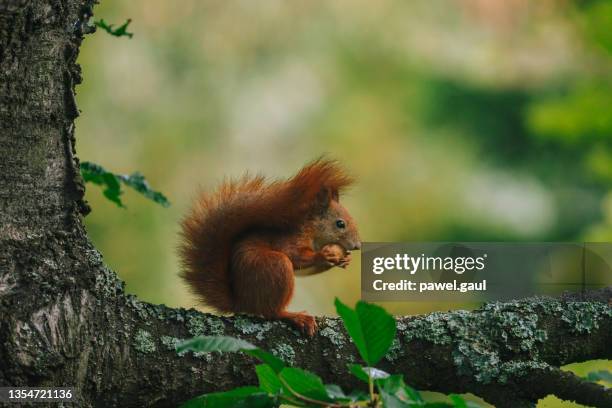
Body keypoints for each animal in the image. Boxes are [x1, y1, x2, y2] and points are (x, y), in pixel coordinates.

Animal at [179, 159, 360, 334]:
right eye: (340, 224)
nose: (357, 245)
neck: (312, 229)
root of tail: (242, 302)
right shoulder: (289, 239)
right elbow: (294, 255)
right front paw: (324, 255)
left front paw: (344, 260)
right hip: (275, 267)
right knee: (271, 312)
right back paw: (296, 317)